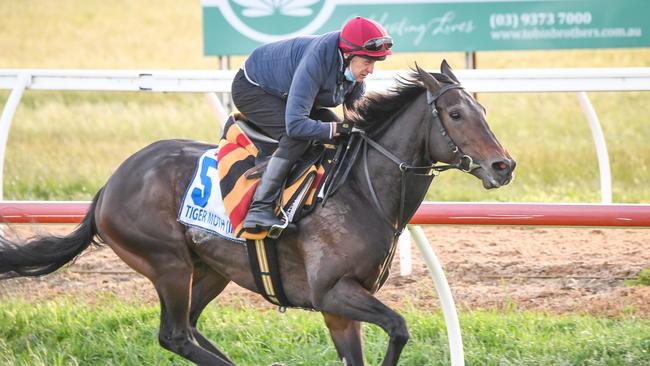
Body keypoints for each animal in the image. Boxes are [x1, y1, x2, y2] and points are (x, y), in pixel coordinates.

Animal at [1, 61, 512, 364]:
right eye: (455, 114)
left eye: (485, 110)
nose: (503, 166)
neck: (361, 191)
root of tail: (109, 186)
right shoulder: (333, 294)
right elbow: (400, 327)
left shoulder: (341, 309)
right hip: (168, 263)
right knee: (175, 335)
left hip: (210, 269)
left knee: (188, 329)